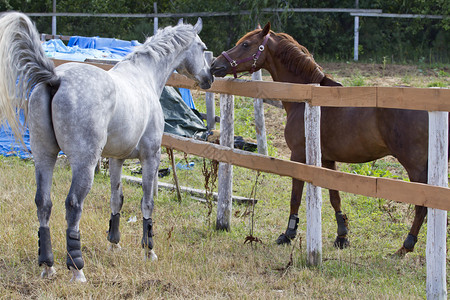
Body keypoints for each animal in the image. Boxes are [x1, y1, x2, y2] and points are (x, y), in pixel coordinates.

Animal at [0, 11, 213, 282]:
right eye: (203, 48)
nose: (209, 78)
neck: (144, 76)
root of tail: (56, 79)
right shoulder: (150, 156)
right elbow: (147, 202)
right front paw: (149, 250)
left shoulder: (116, 159)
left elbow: (116, 199)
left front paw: (114, 243)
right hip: (84, 163)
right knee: (73, 205)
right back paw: (77, 269)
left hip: (44, 156)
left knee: (43, 203)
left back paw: (48, 266)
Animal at [210, 22, 446, 255]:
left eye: (246, 44)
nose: (214, 65)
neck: (303, 100)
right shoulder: (327, 160)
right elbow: (335, 197)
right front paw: (342, 236)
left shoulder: (299, 156)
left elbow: (295, 197)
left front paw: (288, 233)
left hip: (415, 166)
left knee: (422, 205)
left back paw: (406, 246)